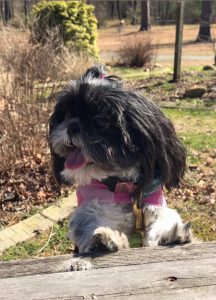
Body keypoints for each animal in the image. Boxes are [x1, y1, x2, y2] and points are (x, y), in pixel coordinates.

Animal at [49, 65, 192, 253]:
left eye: (101, 120)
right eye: (66, 115)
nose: (72, 126)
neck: (122, 186)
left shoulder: (153, 199)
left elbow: (163, 216)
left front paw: (169, 235)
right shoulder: (91, 204)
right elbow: (89, 220)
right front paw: (103, 239)